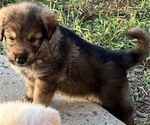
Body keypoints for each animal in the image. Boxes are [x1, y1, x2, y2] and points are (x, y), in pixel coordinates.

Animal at [0, 1, 149, 125]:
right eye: (11, 38)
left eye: (33, 39)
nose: (20, 60)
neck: (43, 49)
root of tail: (118, 57)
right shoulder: (31, 76)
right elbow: (31, 87)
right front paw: (27, 98)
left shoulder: (46, 79)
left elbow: (39, 96)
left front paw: (37, 107)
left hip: (113, 98)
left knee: (127, 112)